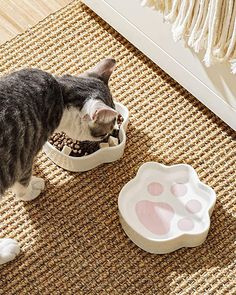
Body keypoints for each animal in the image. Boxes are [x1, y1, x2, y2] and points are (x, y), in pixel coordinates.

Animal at [0, 58, 118, 266]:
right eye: (104, 132)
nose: (108, 137)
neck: (61, 93)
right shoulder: (23, 156)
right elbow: (23, 184)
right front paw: (32, 189)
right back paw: (7, 250)